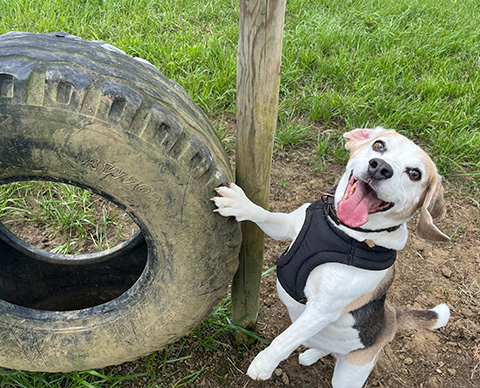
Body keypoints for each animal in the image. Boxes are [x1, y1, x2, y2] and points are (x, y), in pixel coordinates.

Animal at [211, 128, 450, 388]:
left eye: (415, 174)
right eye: (379, 145)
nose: (380, 167)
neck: (344, 231)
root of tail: (392, 318)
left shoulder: (322, 309)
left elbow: (286, 338)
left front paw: (264, 364)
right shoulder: (286, 228)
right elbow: (265, 215)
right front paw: (240, 204)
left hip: (350, 374)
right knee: (323, 347)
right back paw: (311, 354)